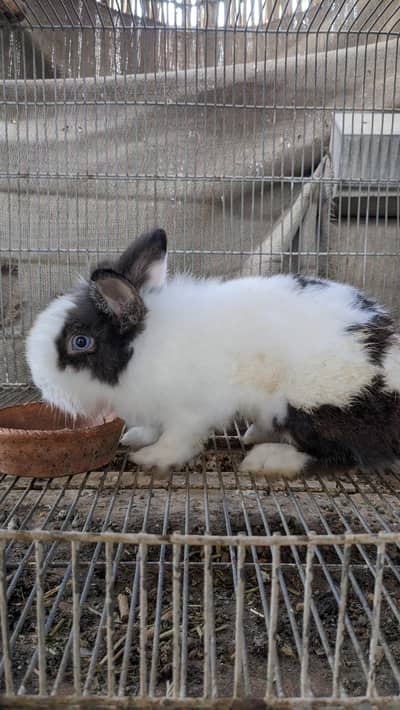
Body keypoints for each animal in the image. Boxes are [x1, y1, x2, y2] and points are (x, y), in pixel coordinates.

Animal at [26, 227, 400, 480]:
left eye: (80, 342)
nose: (43, 384)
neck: (143, 348)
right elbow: (152, 427)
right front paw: (136, 438)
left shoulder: (189, 411)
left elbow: (178, 439)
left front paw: (152, 458)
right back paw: (256, 434)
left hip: (313, 404)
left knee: (347, 454)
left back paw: (269, 459)